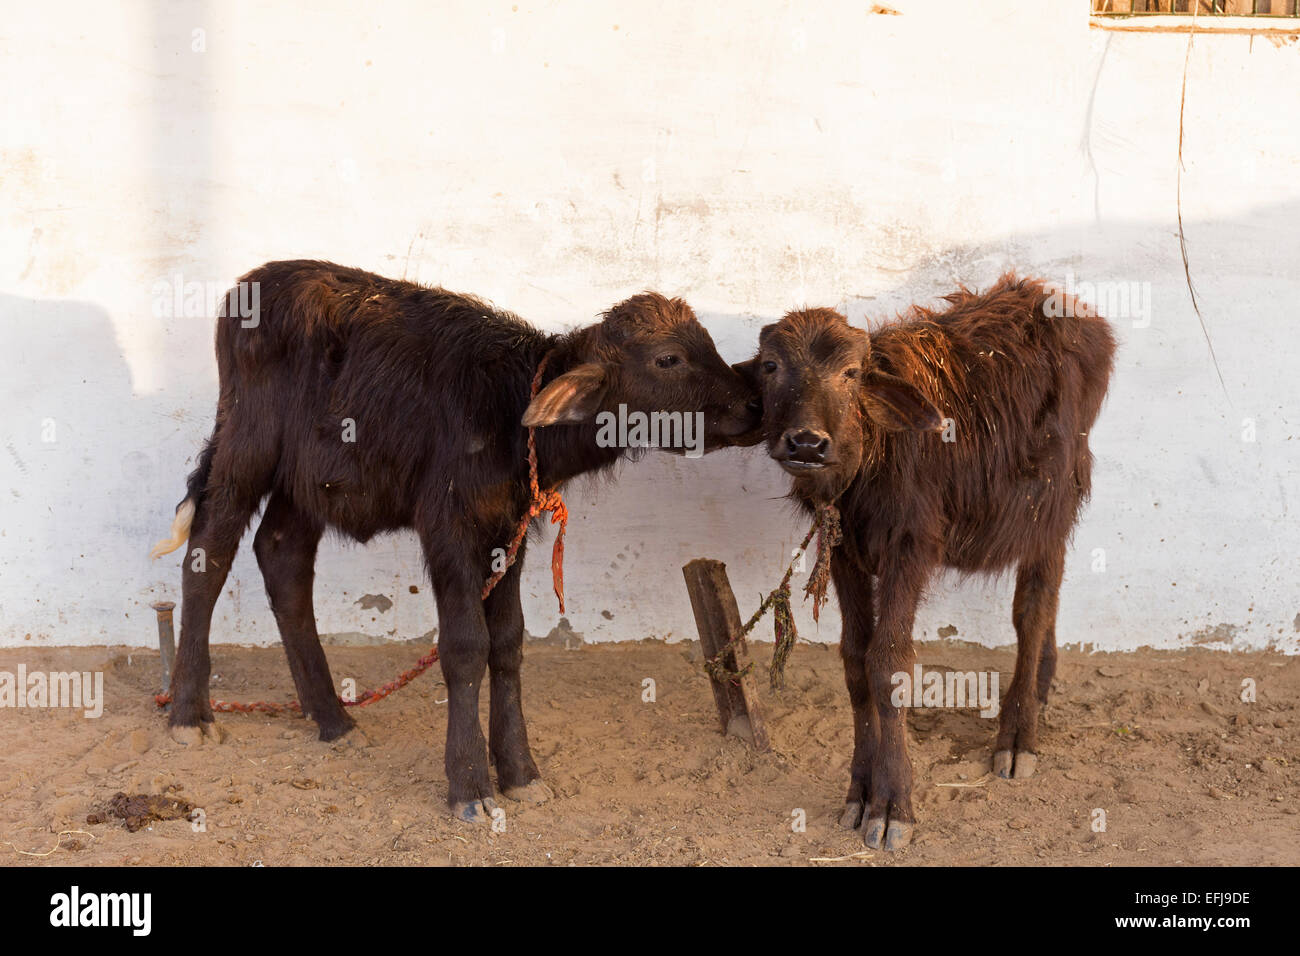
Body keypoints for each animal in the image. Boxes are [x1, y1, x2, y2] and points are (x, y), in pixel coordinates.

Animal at [152, 261, 759, 822]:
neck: (510, 415)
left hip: (307, 482)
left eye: (705, 342)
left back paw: (333, 719)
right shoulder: (449, 530)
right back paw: (189, 715)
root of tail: (252, 285)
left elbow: (508, 643)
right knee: (208, 556)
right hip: (246, 448)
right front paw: (470, 785)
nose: (753, 405)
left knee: (282, 557)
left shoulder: (509, 534)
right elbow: (466, 646)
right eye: (668, 359)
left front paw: (520, 772)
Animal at [743, 274, 1118, 853]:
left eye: (851, 373)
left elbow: (889, 660)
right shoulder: (845, 552)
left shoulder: (910, 547)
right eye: (770, 366)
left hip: (1050, 507)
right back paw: (1041, 688)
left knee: (1033, 610)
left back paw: (1018, 734)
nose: (807, 442)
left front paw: (892, 805)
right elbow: (855, 660)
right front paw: (859, 793)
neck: (872, 457)